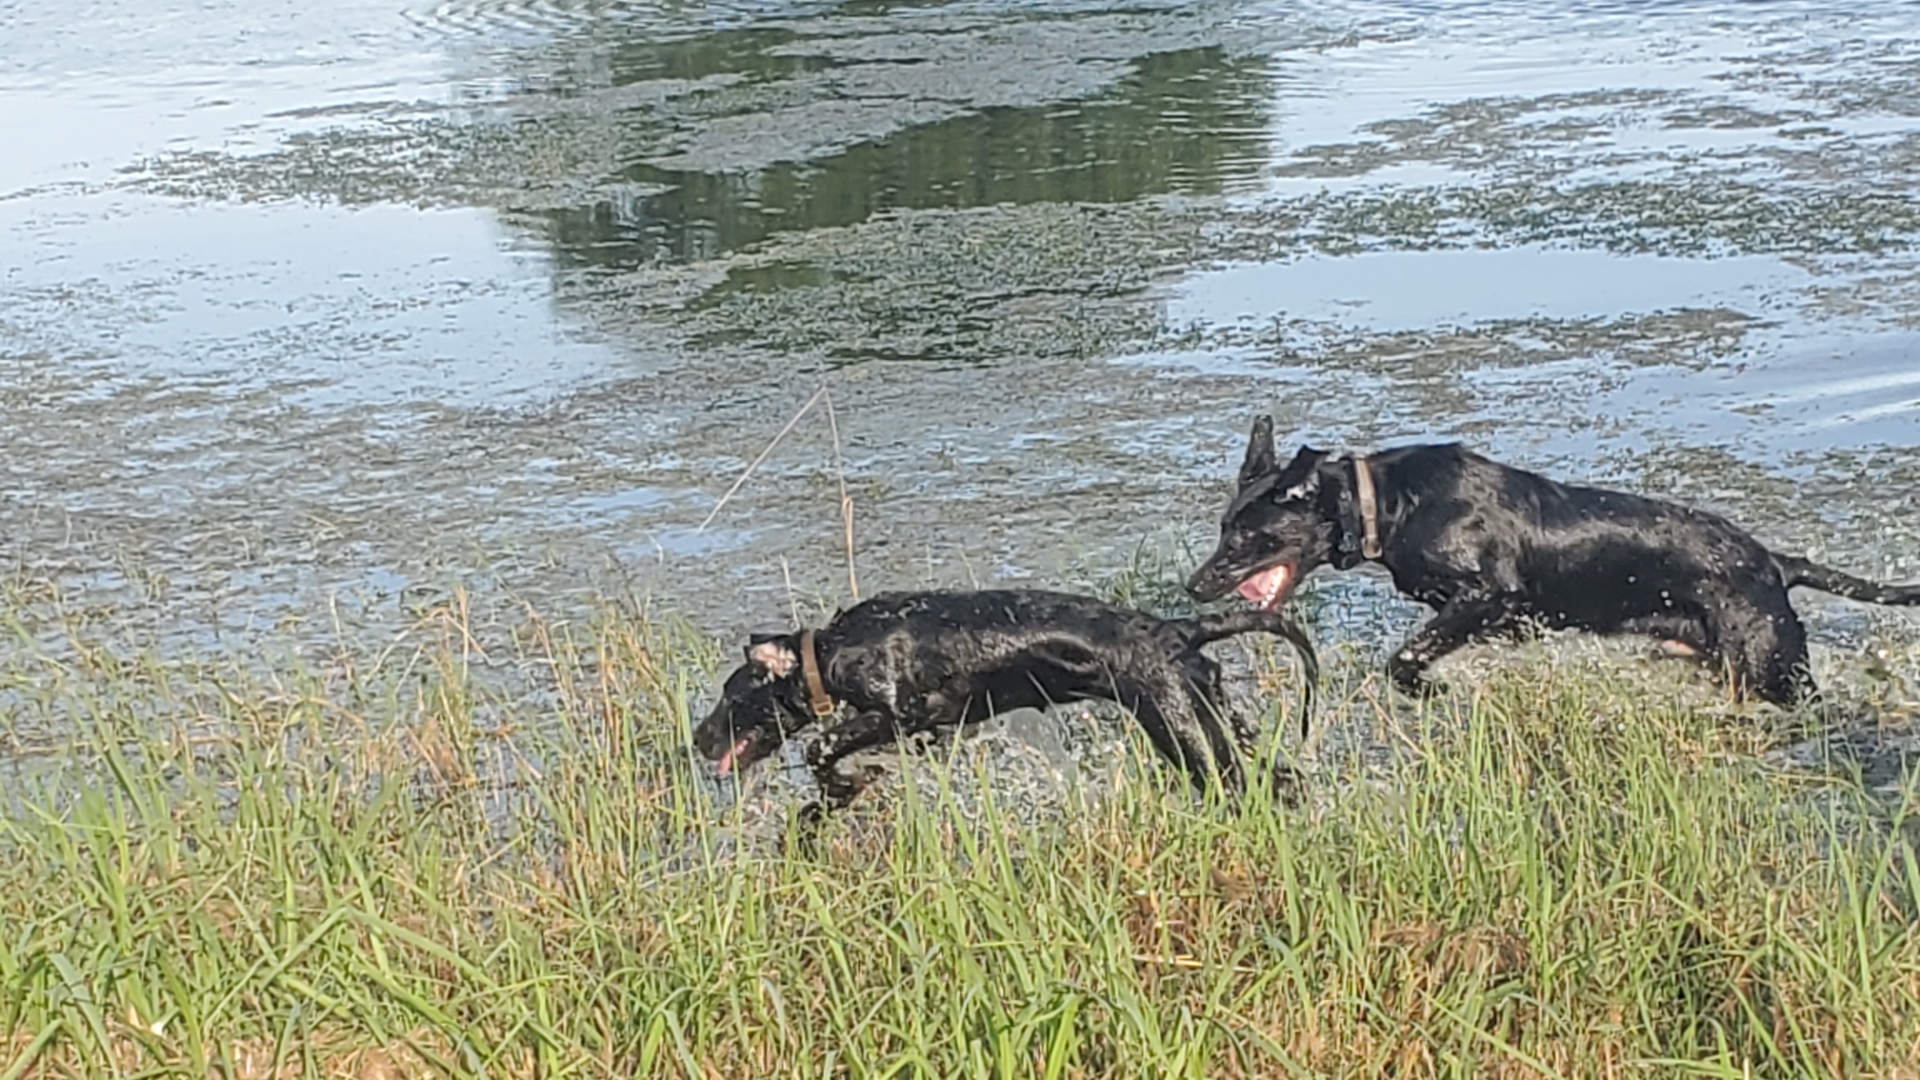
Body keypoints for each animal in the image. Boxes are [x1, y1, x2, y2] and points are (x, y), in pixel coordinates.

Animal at [691, 588, 1320, 814]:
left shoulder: (903, 713)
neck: (834, 649)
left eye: (732, 697)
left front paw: (842, 781)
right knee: (1279, 777)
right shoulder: (926, 735)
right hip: (1214, 721)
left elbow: (823, 746)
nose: (697, 740)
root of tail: (1182, 630)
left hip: (1184, 736)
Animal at [1182, 413, 1920, 707]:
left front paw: (1430, 687)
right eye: (1222, 528)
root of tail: (1775, 563)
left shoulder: (1488, 595)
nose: (1193, 587)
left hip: (1773, 666)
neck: (1389, 503)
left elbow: (1405, 656)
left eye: (1243, 537)